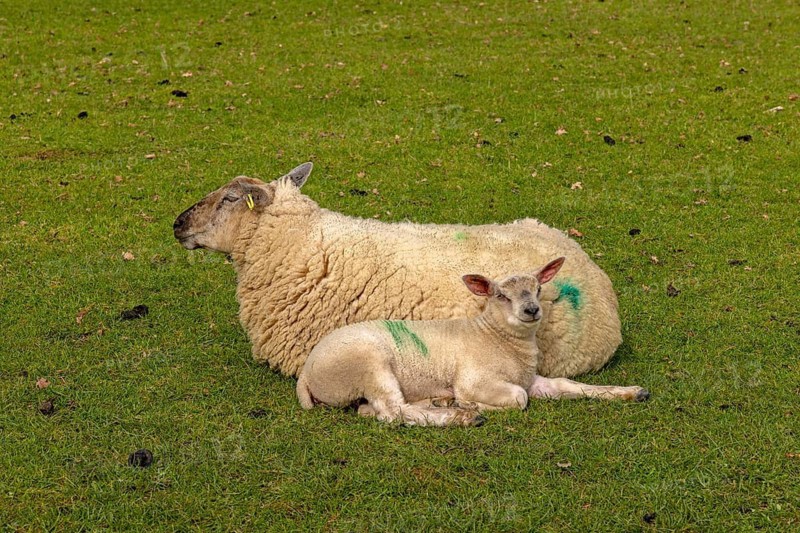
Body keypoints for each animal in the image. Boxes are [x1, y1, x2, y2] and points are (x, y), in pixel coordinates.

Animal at [296, 258, 648, 427]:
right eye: (501, 296)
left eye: (537, 289)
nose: (531, 310)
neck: (497, 339)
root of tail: (306, 373)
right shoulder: (476, 379)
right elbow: (519, 398)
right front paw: (469, 405)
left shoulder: (530, 378)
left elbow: (566, 385)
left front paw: (631, 392)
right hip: (368, 364)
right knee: (391, 412)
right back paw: (461, 416)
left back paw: (438, 402)